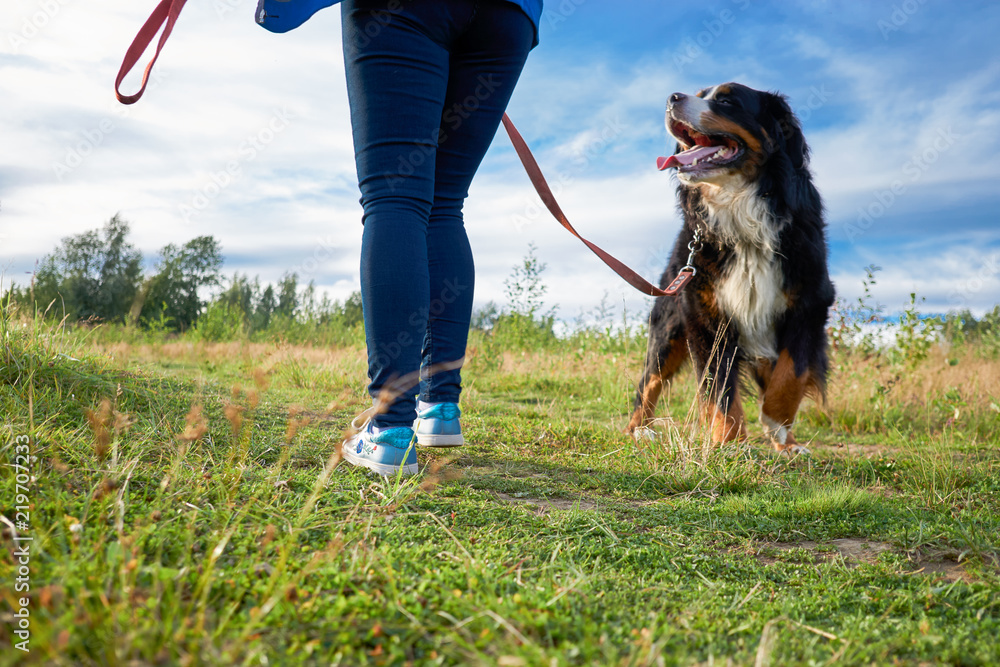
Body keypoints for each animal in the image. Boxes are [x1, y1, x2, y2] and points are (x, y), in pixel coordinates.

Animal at [628, 81, 832, 452]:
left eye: (726, 101)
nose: (672, 98)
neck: (740, 211)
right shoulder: (705, 315)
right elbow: (719, 388)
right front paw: (728, 442)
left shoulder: (810, 302)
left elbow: (790, 374)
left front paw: (779, 428)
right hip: (667, 327)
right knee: (648, 382)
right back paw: (639, 430)